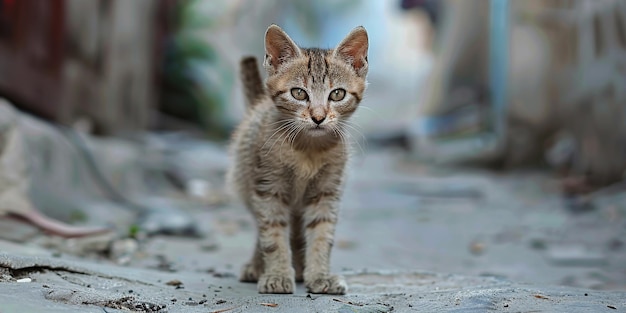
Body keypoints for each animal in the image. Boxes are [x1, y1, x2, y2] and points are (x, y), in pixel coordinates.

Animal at [228, 23, 366, 292]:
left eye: (337, 94)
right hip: (246, 181)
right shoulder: (268, 189)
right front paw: (277, 274)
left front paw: (320, 275)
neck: (307, 149)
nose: (318, 117)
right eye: (299, 93)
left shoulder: (326, 192)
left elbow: (322, 234)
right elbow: (272, 235)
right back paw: (257, 266)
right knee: (262, 227)